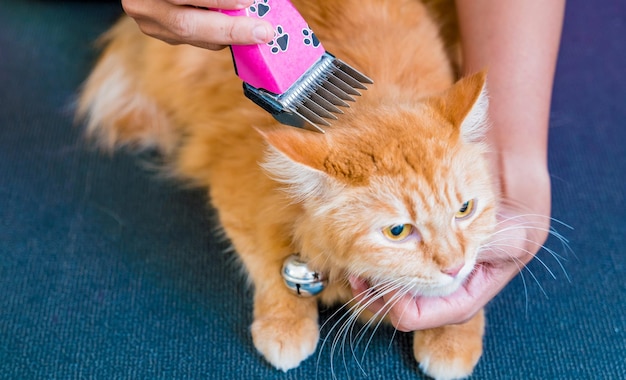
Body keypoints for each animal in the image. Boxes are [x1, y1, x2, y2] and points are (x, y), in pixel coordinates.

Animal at [79, 1, 498, 378]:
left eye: (465, 209)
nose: (454, 264)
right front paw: (285, 327)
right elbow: (266, 266)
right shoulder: (235, 189)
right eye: (397, 231)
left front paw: (452, 334)